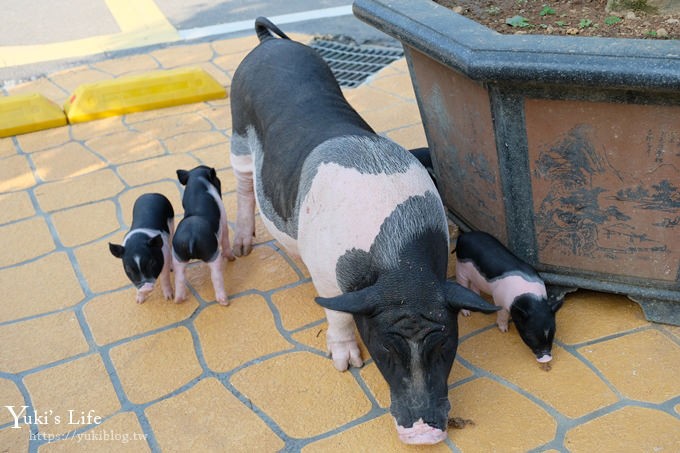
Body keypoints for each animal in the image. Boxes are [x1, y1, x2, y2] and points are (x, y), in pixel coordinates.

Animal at [456, 231, 564, 362]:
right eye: (529, 336)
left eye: (553, 331)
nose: (546, 358)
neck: (528, 297)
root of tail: (464, 235)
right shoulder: (499, 299)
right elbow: (502, 315)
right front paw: (504, 330)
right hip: (461, 269)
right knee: (462, 284)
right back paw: (467, 313)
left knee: (474, 285)